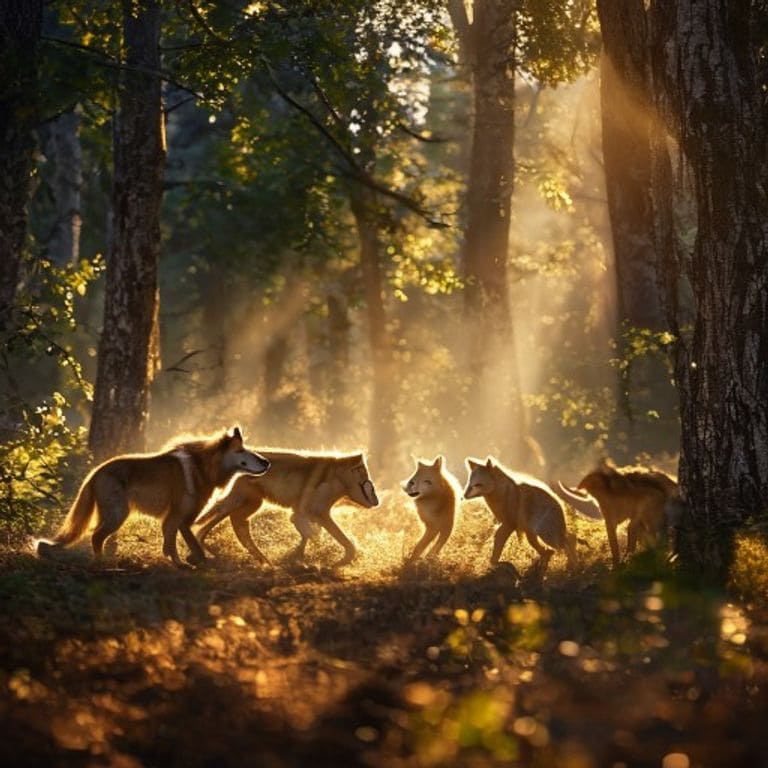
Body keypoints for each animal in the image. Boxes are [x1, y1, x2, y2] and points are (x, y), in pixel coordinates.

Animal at [36, 427, 269, 567]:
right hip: (118, 515)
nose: (266, 462)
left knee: (97, 537)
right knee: (96, 536)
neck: (204, 468)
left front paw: (179, 562)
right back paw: (104, 564)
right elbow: (186, 545)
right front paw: (186, 563)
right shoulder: (180, 519)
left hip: (113, 515)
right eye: (242, 450)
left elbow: (172, 543)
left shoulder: (177, 521)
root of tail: (95, 472)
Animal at [193, 450, 379, 566]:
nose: (377, 501)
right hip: (239, 502)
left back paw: (264, 561)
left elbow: (314, 536)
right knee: (210, 523)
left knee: (237, 523)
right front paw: (327, 560)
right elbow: (335, 541)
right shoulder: (312, 513)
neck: (338, 479)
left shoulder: (306, 514)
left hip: (251, 504)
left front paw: (301, 558)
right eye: (367, 482)